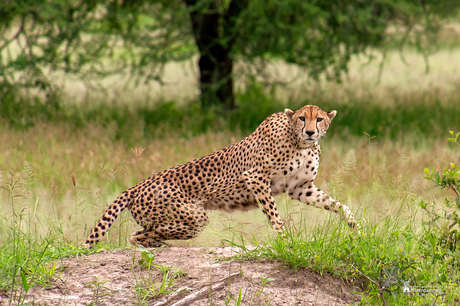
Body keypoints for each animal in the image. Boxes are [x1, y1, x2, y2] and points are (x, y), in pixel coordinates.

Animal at [85, 105, 360, 249]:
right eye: (302, 118)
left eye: (320, 119)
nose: (311, 132)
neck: (301, 143)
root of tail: (136, 186)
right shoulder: (256, 178)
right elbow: (274, 215)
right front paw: (285, 239)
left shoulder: (300, 187)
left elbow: (339, 205)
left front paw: (355, 227)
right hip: (193, 216)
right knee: (142, 233)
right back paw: (158, 242)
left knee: (140, 234)